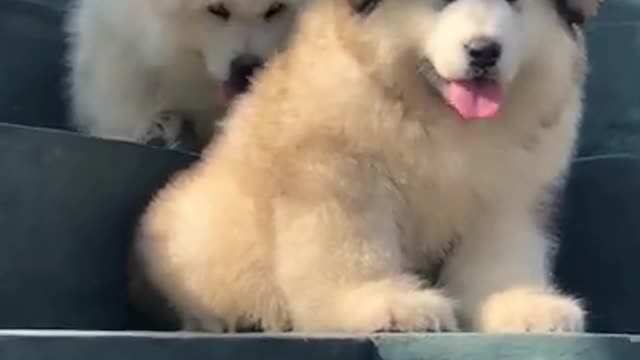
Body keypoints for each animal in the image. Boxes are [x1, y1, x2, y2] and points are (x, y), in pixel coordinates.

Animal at [132, 0, 604, 332]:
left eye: (514, 1)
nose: (484, 51)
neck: (438, 114)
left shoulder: (511, 185)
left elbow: (503, 248)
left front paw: (521, 306)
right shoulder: (338, 168)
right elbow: (350, 243)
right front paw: (384, 304)